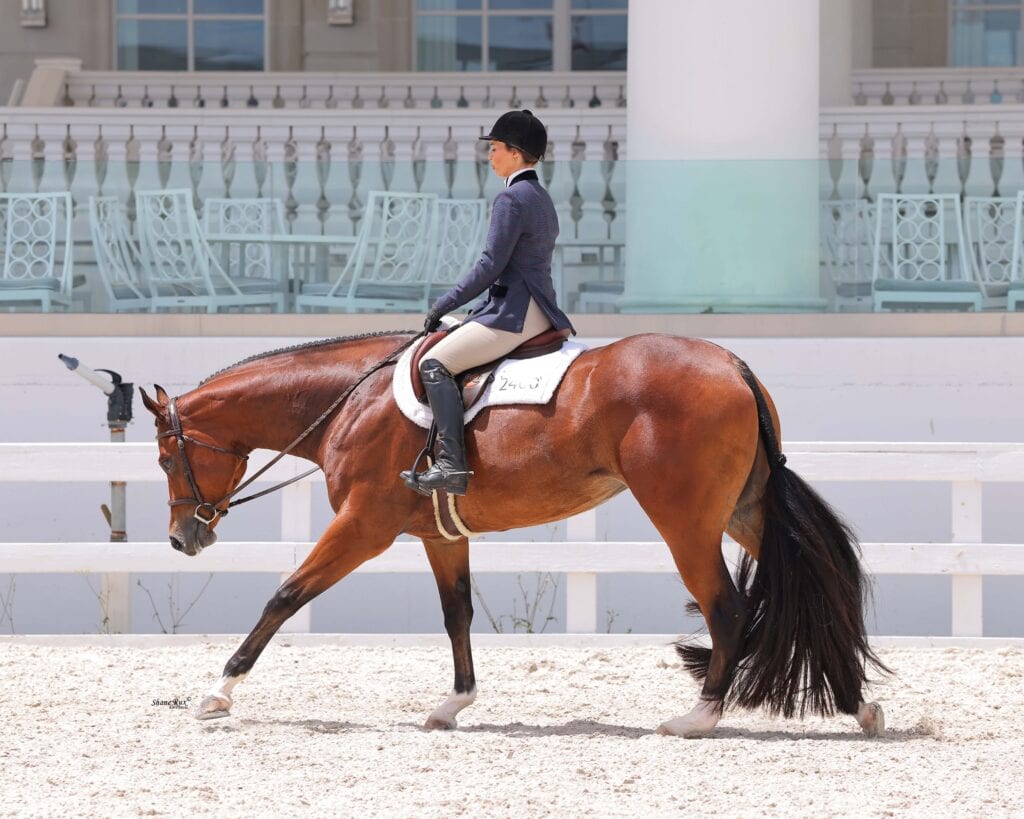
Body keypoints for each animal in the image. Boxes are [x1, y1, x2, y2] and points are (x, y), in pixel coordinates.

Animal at [140, 330, 889, 738]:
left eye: (166, 458)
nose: (181, 539)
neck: (349, 400)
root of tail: (733, 363)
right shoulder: (439, 534)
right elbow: (457, 613)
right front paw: (454, 703)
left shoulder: (362, 525)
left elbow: (285, 595)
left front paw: (218, 691)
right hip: (743, 512)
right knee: (816, 590)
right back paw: (859, 705)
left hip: (685, 521)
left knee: (727, 608)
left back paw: (697, 717)